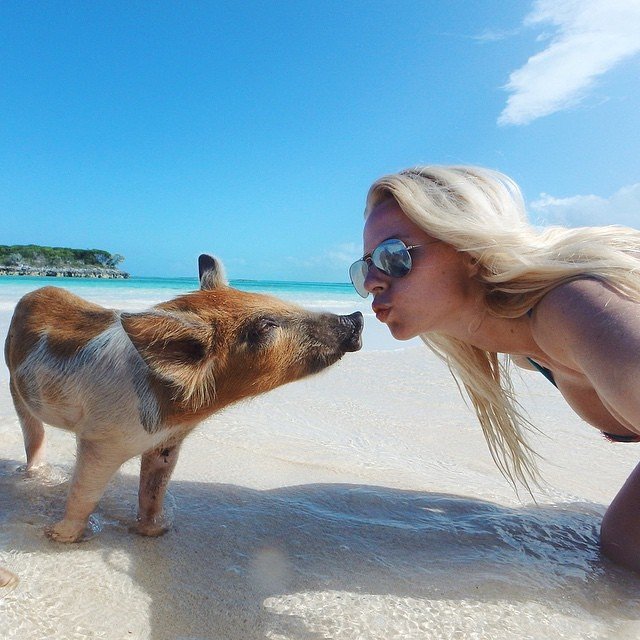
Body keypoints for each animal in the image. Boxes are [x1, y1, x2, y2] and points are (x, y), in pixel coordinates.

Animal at [4, 254, 363, 543]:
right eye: (265, 326)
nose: (356, 318)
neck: (178, 413)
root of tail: (36, 291)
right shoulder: (100, 439)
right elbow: (85, 491)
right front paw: (59, 537)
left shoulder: (168, 443)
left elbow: (154, 488)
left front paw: (157, 530)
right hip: (12, 382)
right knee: (32, 432)